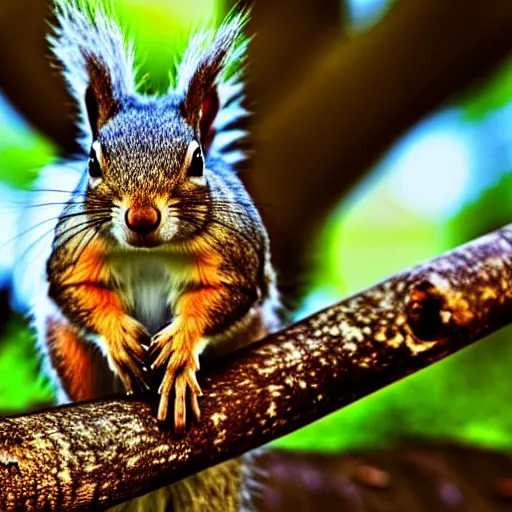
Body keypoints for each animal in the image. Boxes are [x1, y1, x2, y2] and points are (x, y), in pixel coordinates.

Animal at [16, 0, 280, 510]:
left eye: (197, 161)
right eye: (93, 161)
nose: (141, 218)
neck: (153, 250)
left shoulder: (239, 253)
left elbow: (227, 294)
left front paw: (181, 347)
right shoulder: (73, 250)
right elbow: (74, 291)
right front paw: (118, 334)